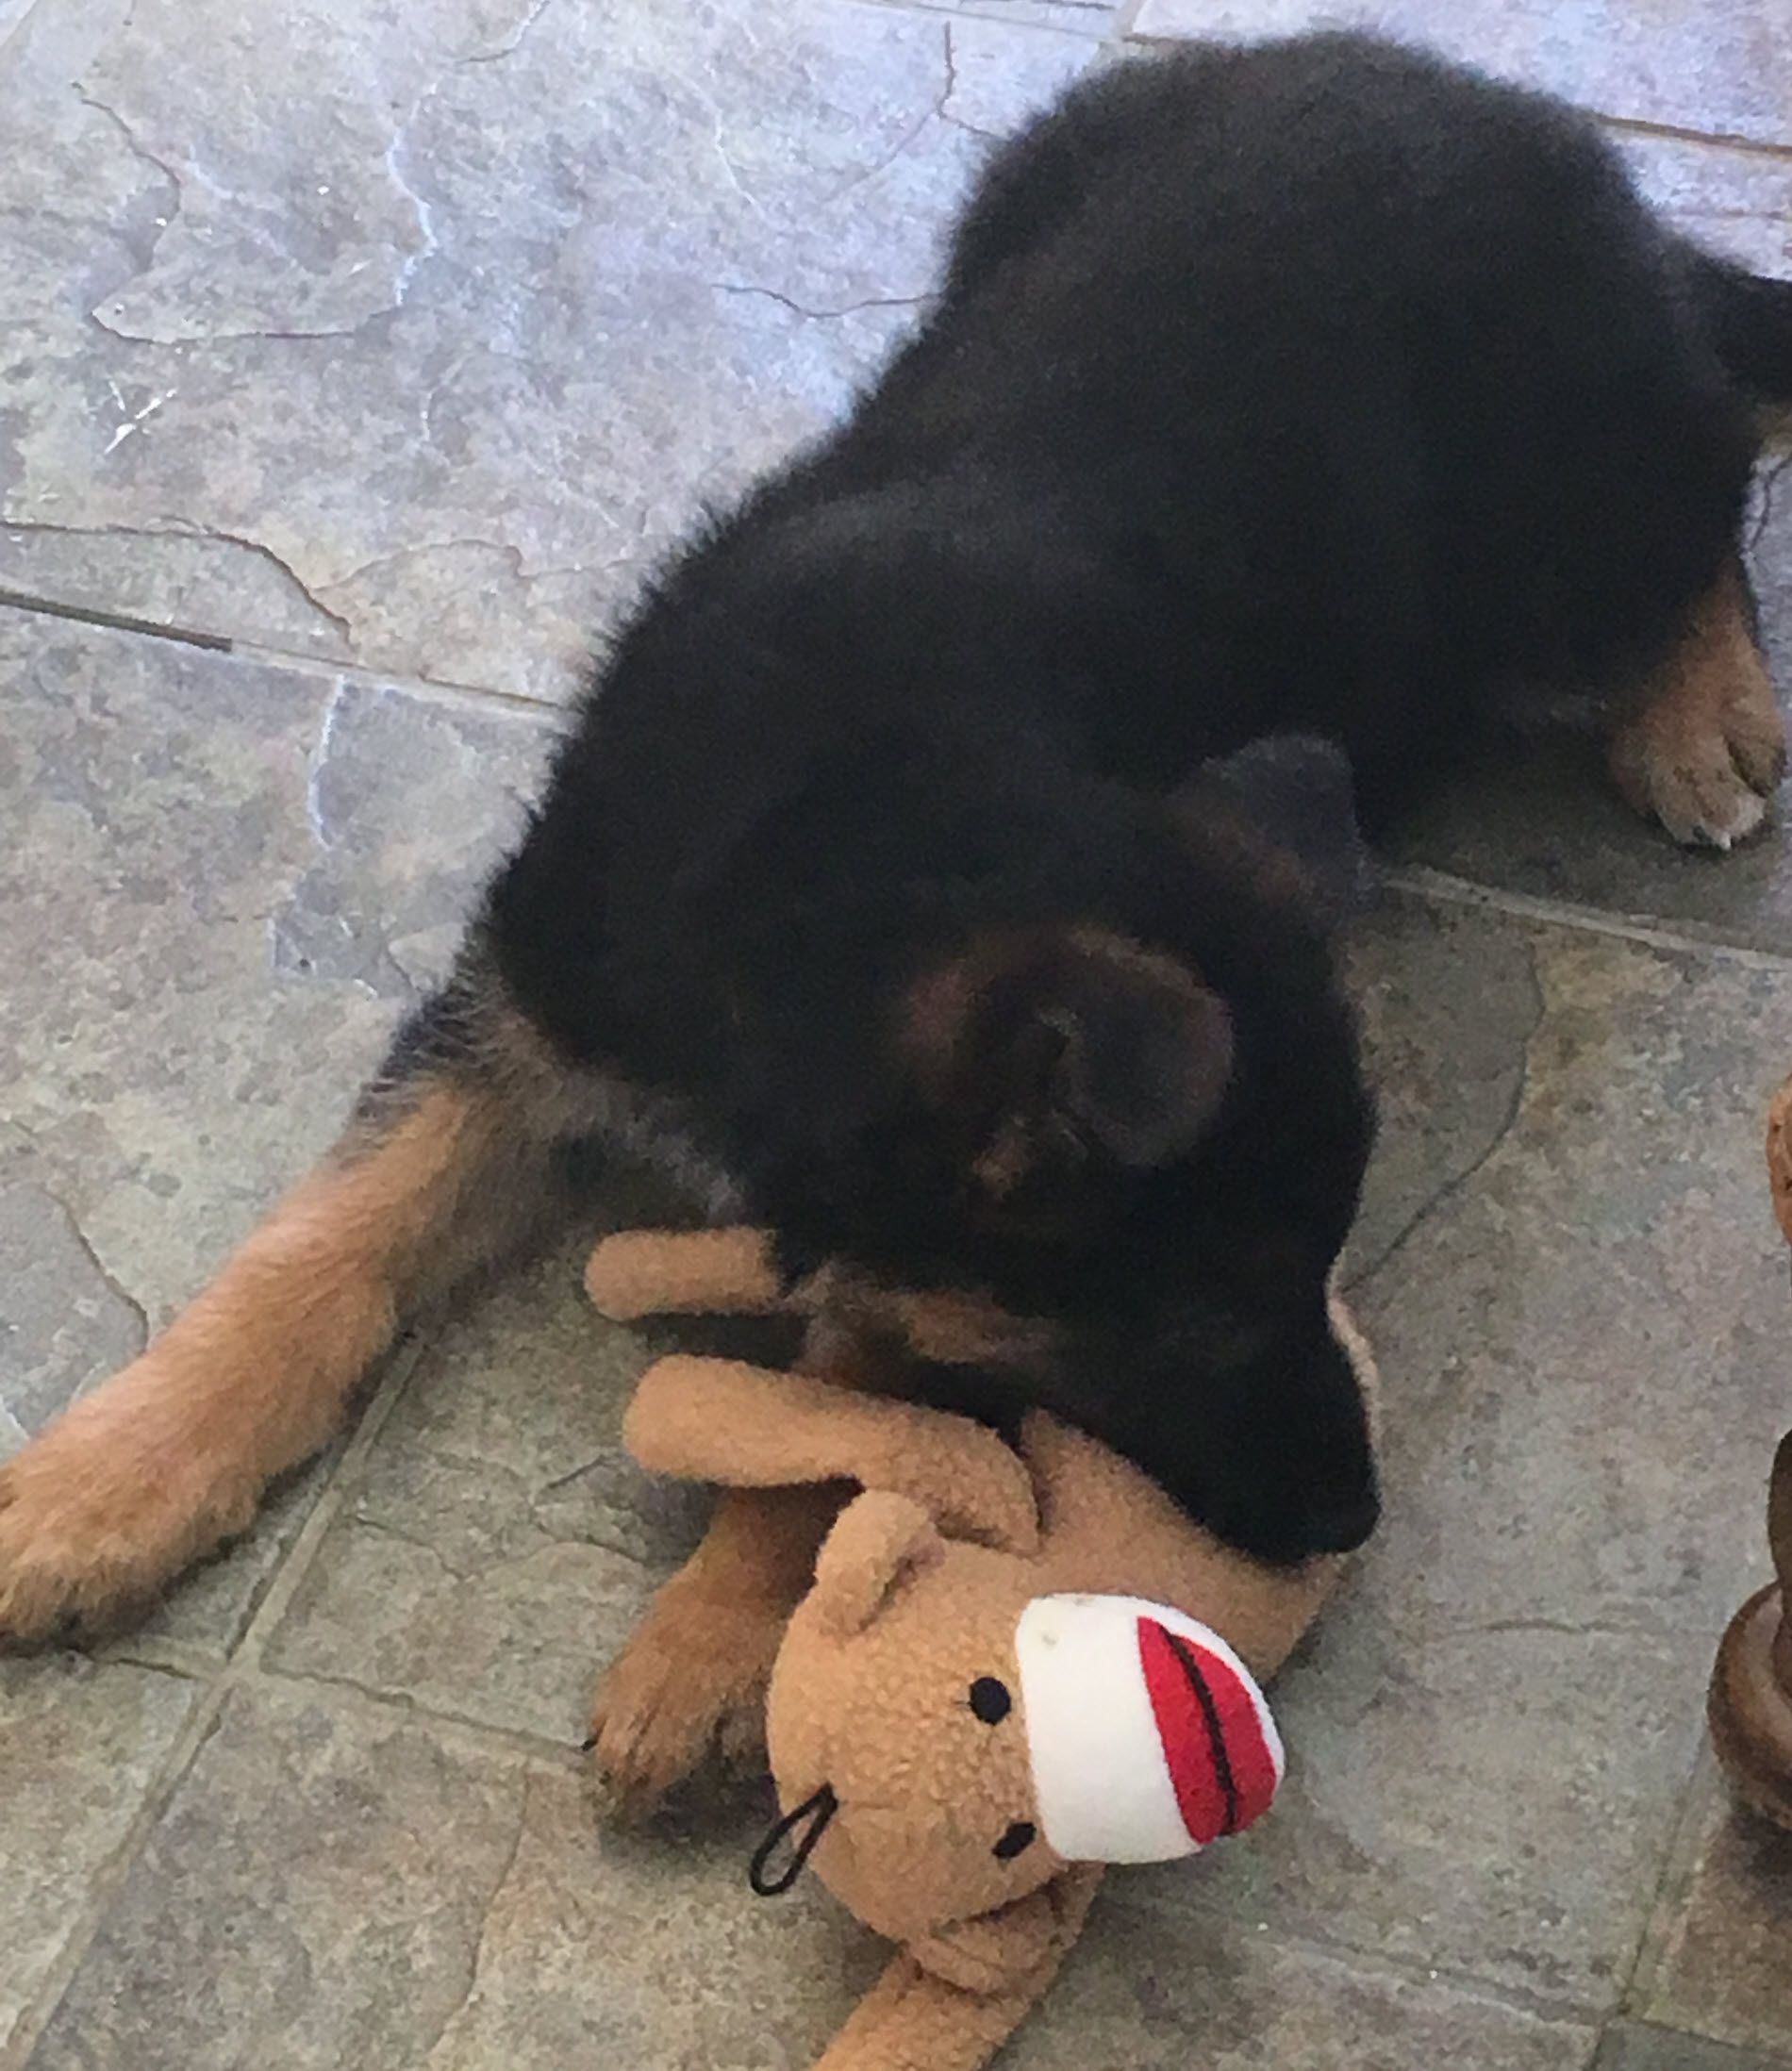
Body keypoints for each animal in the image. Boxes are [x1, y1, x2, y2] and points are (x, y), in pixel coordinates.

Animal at [3, 44, 1789, 1698]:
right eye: (1205, 1317)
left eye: (1327, 1266)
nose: (1353, 1519)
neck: (859, 826)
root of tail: (1552, 149)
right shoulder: (519, 1013)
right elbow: (328, 1233)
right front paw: (107, 1482)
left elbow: (852, 1390)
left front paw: (722, 1635)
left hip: (1559, 515)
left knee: (1712, 464)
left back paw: (1701, 708)